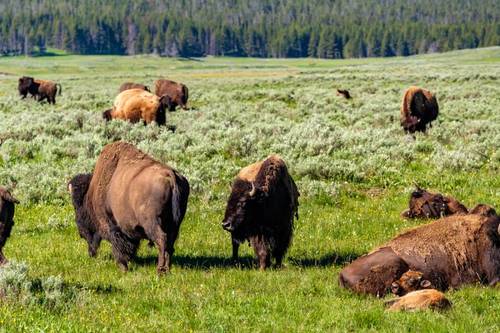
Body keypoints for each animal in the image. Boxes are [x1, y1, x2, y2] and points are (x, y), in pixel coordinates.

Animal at [68, 140, 189, 272]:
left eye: (77, 207)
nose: (80, 233)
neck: (92, 193)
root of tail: (169, 174)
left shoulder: (113, 226)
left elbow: (119, 246)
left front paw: (123, 267)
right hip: (175, 224)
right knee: (170, 244)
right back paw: (167, 268)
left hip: (152, 222)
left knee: (162, 240)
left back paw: (160, 270)